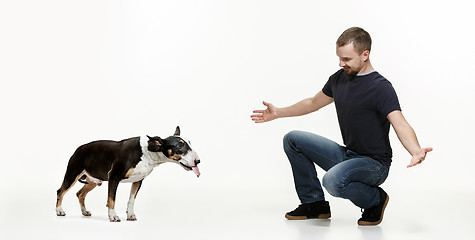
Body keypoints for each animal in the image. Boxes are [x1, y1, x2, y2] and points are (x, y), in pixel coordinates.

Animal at [56, 126, 201, 222]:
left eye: (189, 143)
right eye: (179, 145)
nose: (198, 161)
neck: (149, 151)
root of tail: (78, 149)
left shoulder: (138, 180)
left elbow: (132, 200)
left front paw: (130, 215)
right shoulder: (114, 177)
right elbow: (111, 199)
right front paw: (113, 216)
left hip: (93, 180)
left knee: (80, 193)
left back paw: (84, 212)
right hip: (72, 174)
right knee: (61, 191)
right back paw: (59, 211)